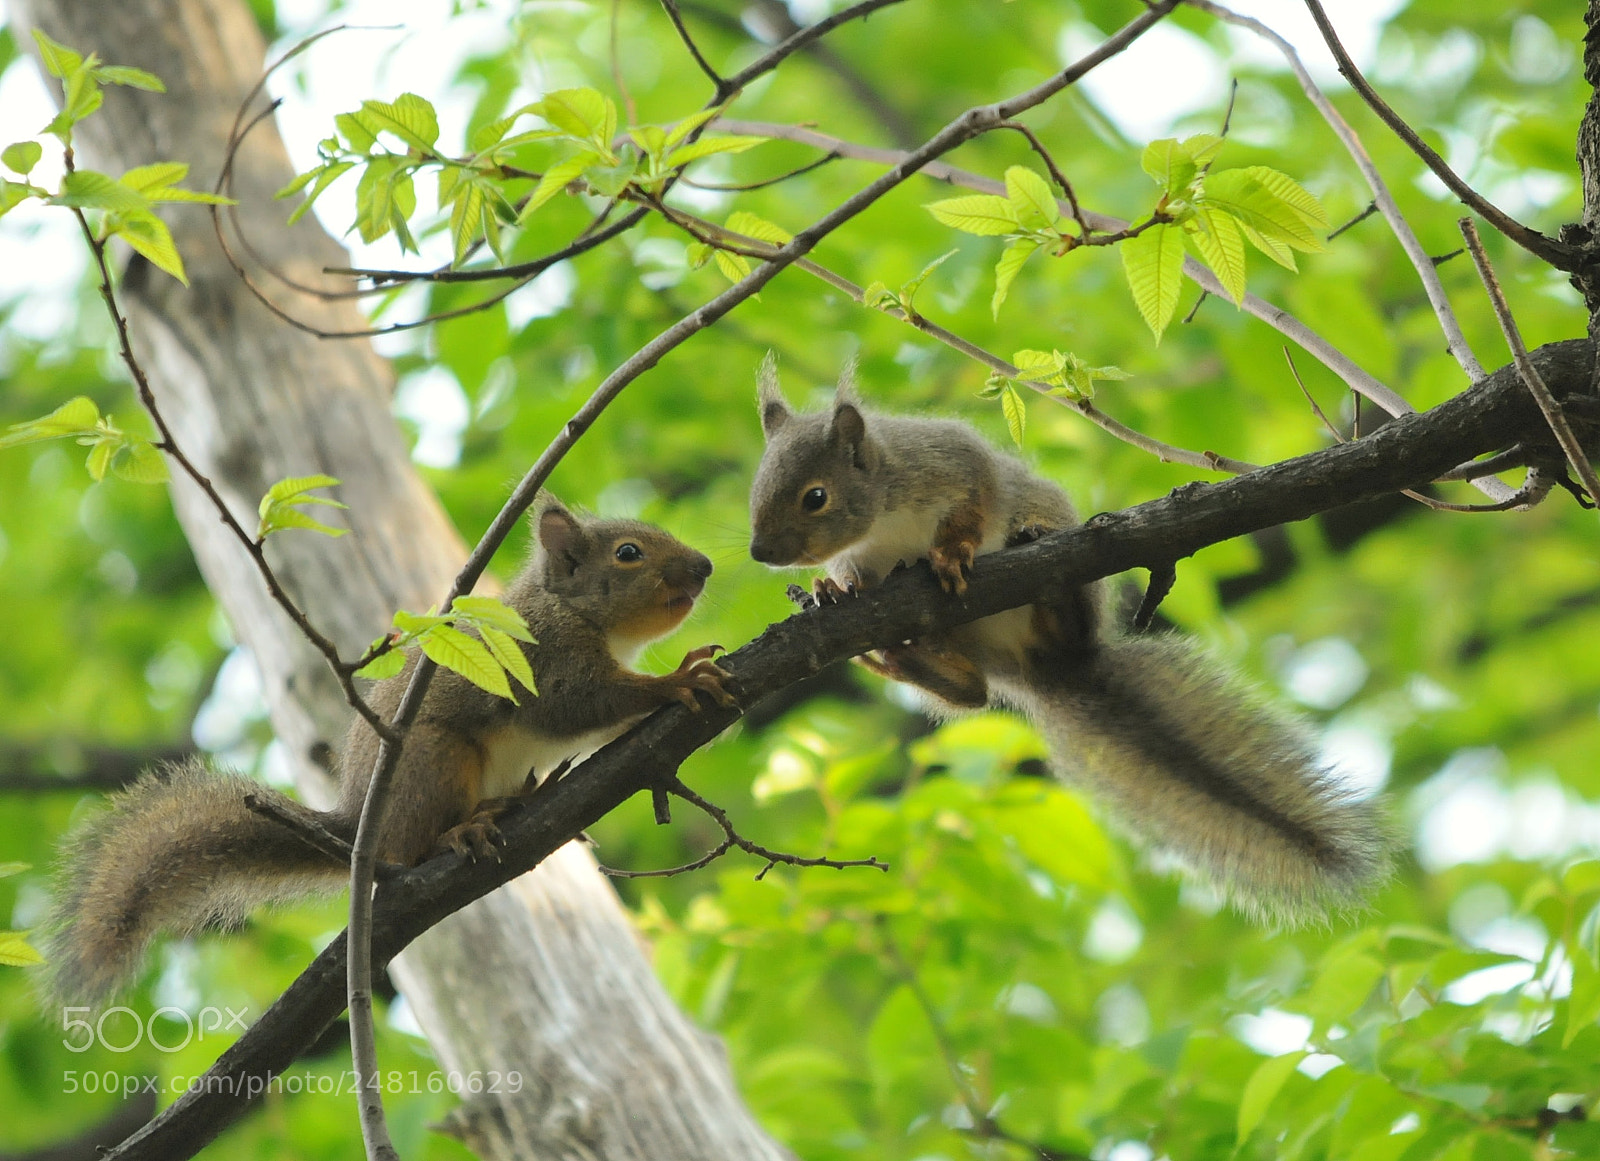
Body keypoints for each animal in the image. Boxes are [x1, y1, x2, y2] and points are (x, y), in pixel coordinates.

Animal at [41, 496, 735, 1007]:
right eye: (628, 554)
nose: (704, 566)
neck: (577, 613)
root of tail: (357, 824)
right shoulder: (546, 660)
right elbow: (579, 706)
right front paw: (677, 679)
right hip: (434, 760)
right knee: (413, 845)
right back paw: (469, 827)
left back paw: (523, 797)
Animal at [748, 356, 1389, 922]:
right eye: (757, 488)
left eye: (815, 496)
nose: (760, 552)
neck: (883, 516)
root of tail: (1052, 669)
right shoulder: (867, 557)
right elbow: (857, 580)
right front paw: (830, 590)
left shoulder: (952, 461)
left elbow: (977, 501)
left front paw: (952, 552)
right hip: (967, 649)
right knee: (971, 693)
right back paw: (899, 657)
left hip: (1059, 549)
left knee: (1052, 621)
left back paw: (1052, 592)